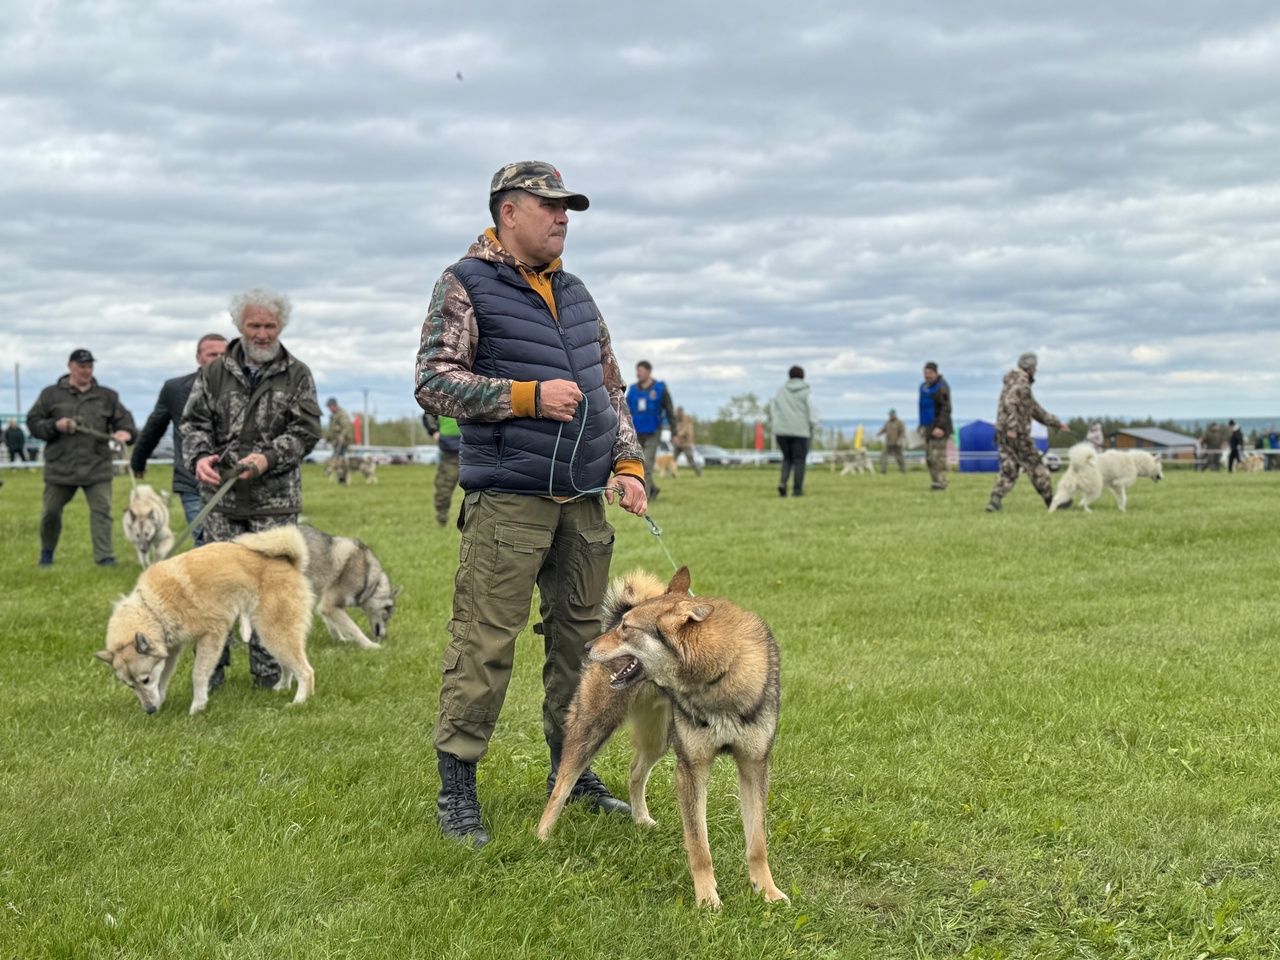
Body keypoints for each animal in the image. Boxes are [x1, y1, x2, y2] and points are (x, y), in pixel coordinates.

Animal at [535, 568, 783, 911]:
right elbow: (699, 846)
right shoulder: (691, 769)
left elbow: (757, 842)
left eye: (627, 629)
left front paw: (768, 891)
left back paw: (640, 818)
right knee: (561, 786)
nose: (587, 646)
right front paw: (707, 899)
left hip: (659, 739)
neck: (720, 675)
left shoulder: (754, 765)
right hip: (592, 729)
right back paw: (541, 836)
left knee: (635, 772)